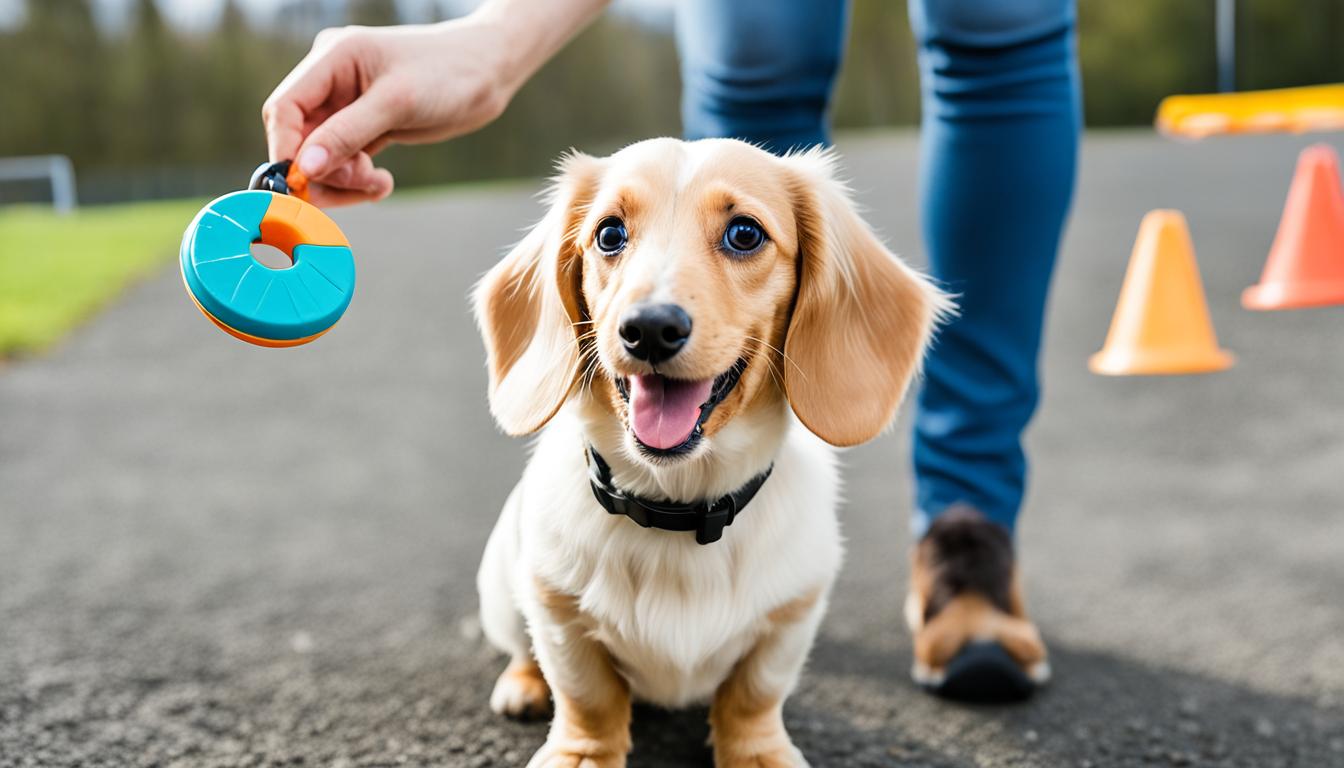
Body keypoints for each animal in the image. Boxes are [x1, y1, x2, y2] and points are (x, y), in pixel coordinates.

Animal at [470, 139, 946, 768]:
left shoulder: (791, 615)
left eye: (744, 234)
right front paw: (581, 754)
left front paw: (757, 753)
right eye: (609, 234)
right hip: (503, 590)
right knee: (522, 651)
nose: (648, 328)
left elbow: (754, 695)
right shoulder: (555, 610)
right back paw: (520, 686)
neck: (676, 504)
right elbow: (586, 696)